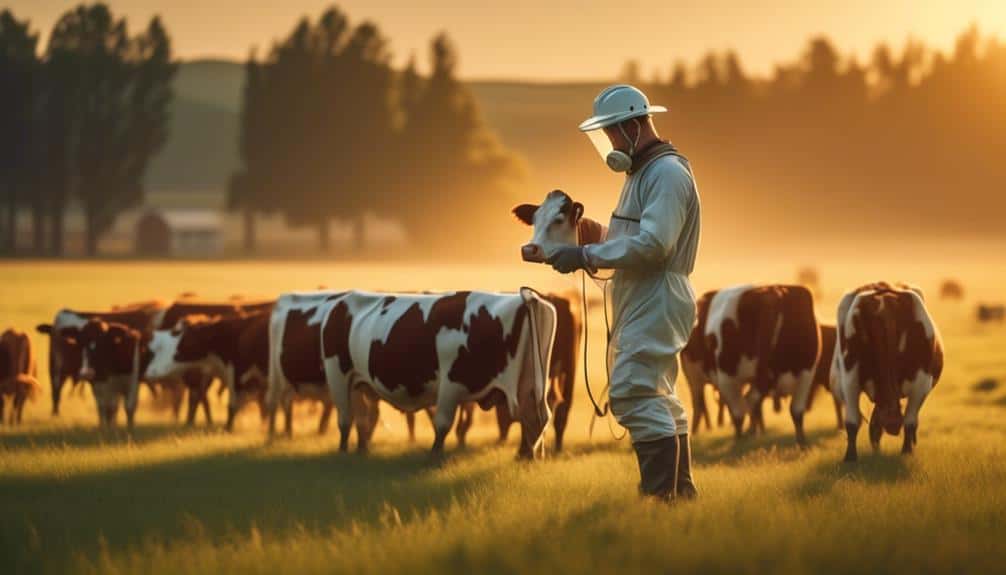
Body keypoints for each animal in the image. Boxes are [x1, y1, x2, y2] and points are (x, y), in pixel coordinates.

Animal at [267, 292, 381, 442]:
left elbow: (370, 416)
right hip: (276, 373)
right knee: (274, 402)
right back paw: (271, 437)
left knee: (286, 401)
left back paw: (288, 434)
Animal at [319, 288, 556, 458]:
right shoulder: (451, 384)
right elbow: (442, 423)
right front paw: (434, 454)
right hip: (339, 377)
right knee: (346, 419)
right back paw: (344, 452)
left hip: (354, 384)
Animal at [833, 283, 943, 462]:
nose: (892, 426)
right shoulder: (850, 380)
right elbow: (852, 422)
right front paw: (850, 458)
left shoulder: (921, 384)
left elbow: (909, 422)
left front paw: (906, 452)